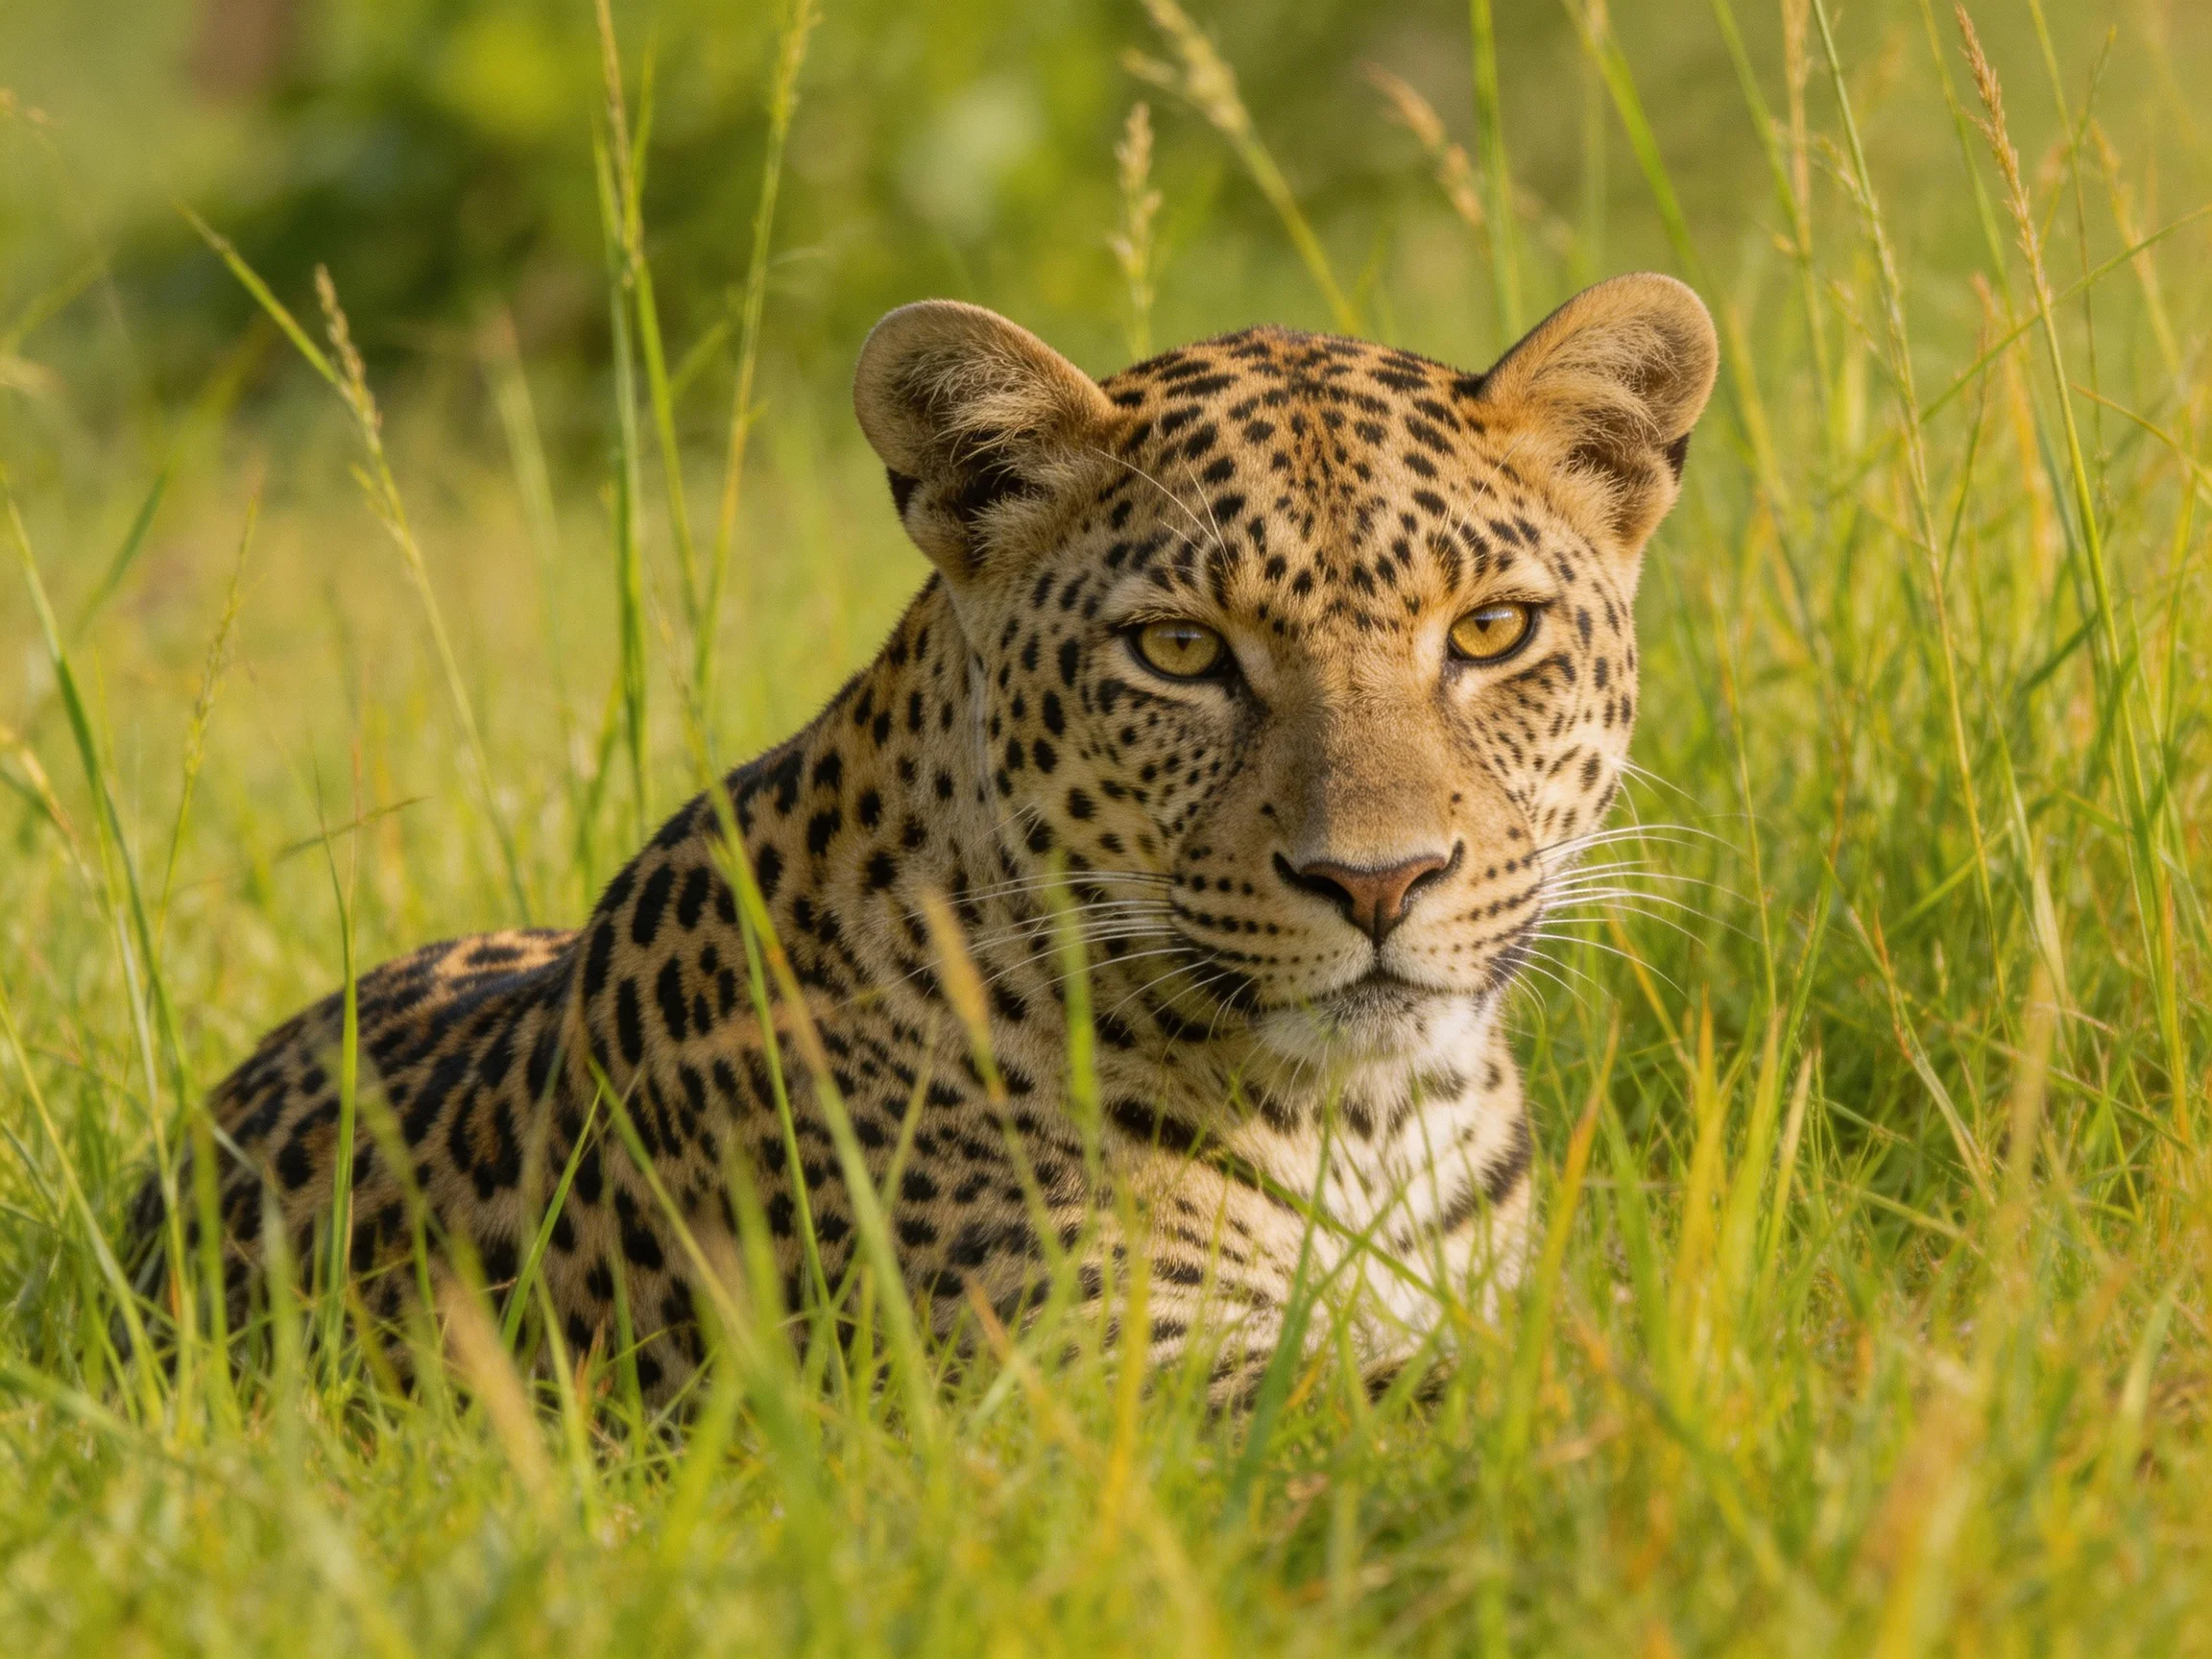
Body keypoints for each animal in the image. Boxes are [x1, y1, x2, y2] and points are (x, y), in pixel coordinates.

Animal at [129, 273, 1718, 1404]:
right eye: (1180, 652)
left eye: (1493, 631)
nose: (1378, 882)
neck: (1372, 1125)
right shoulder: (1098, 1381)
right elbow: (1510, 1403)